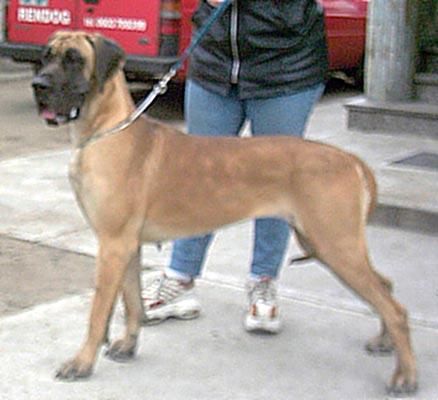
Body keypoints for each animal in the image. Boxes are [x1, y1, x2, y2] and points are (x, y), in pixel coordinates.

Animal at [31, 31, 417, 396]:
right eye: (46, 57)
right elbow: (131, 301)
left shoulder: (112, 245)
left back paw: (406, 376)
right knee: (386, 287)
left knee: (395, 308)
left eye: (74, 59)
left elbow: (98, 313)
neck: (105, 129)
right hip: (326, 243)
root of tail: (350, 159)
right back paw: (385, 342)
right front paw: (128, 344)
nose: (38, 85)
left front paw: (81, 363)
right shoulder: (127, 245)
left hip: (335, 244)